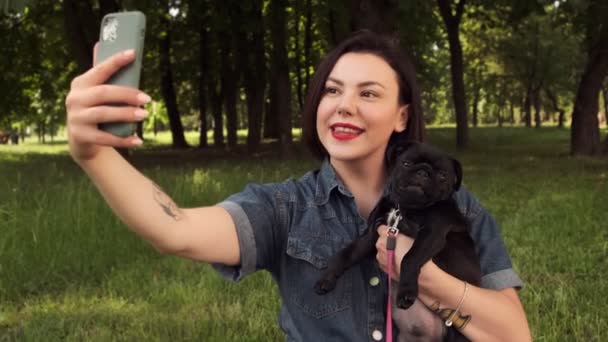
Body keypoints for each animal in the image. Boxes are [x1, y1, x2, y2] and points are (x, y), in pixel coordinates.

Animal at [316, 142, 482, 340]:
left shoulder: (431, 235)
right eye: (406, 163)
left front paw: (406, 292)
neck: (404, 208)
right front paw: (327, 278)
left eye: (443, 175)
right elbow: (345, 254)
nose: (423, 172)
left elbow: (409, 258)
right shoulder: (372, 234)